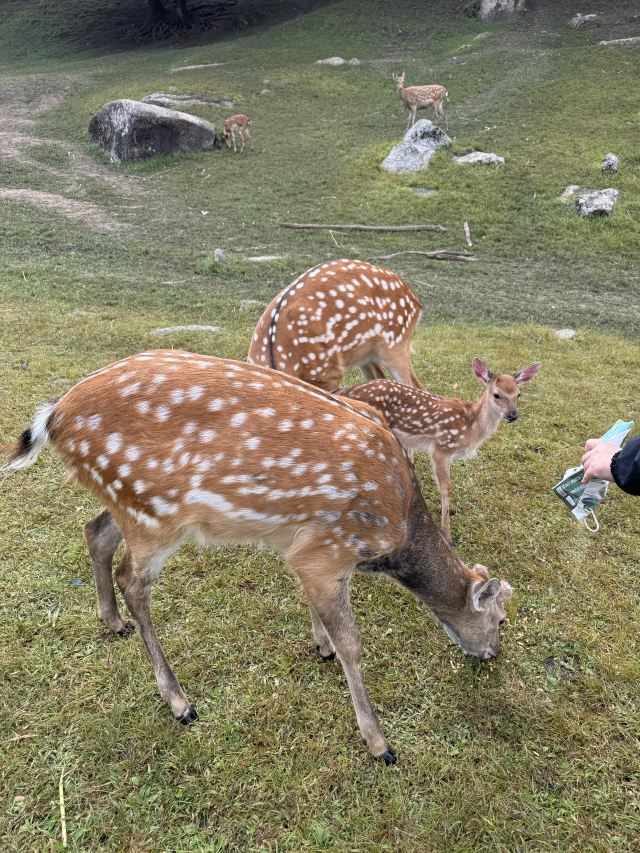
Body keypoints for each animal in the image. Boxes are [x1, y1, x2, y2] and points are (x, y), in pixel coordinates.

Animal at [1, 350, 512, 764]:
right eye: (502, 620)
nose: (492, 653)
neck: (398, 533)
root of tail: (53, 416)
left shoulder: (305, 545)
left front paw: (320, 645)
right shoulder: (330, 547)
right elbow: (352, 643)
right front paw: (379, 743)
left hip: (127, 499)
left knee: (95, 532)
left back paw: (112, 622)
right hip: (155, 511)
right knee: (133, 581)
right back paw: (180, 702)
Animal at [341, 358, 541, 543]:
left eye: (518, 394)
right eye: (497, 395)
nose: (512, 415)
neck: (471, 426)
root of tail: (347, 391)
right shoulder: (441, 448)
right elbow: (446, 487)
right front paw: (447, 534)